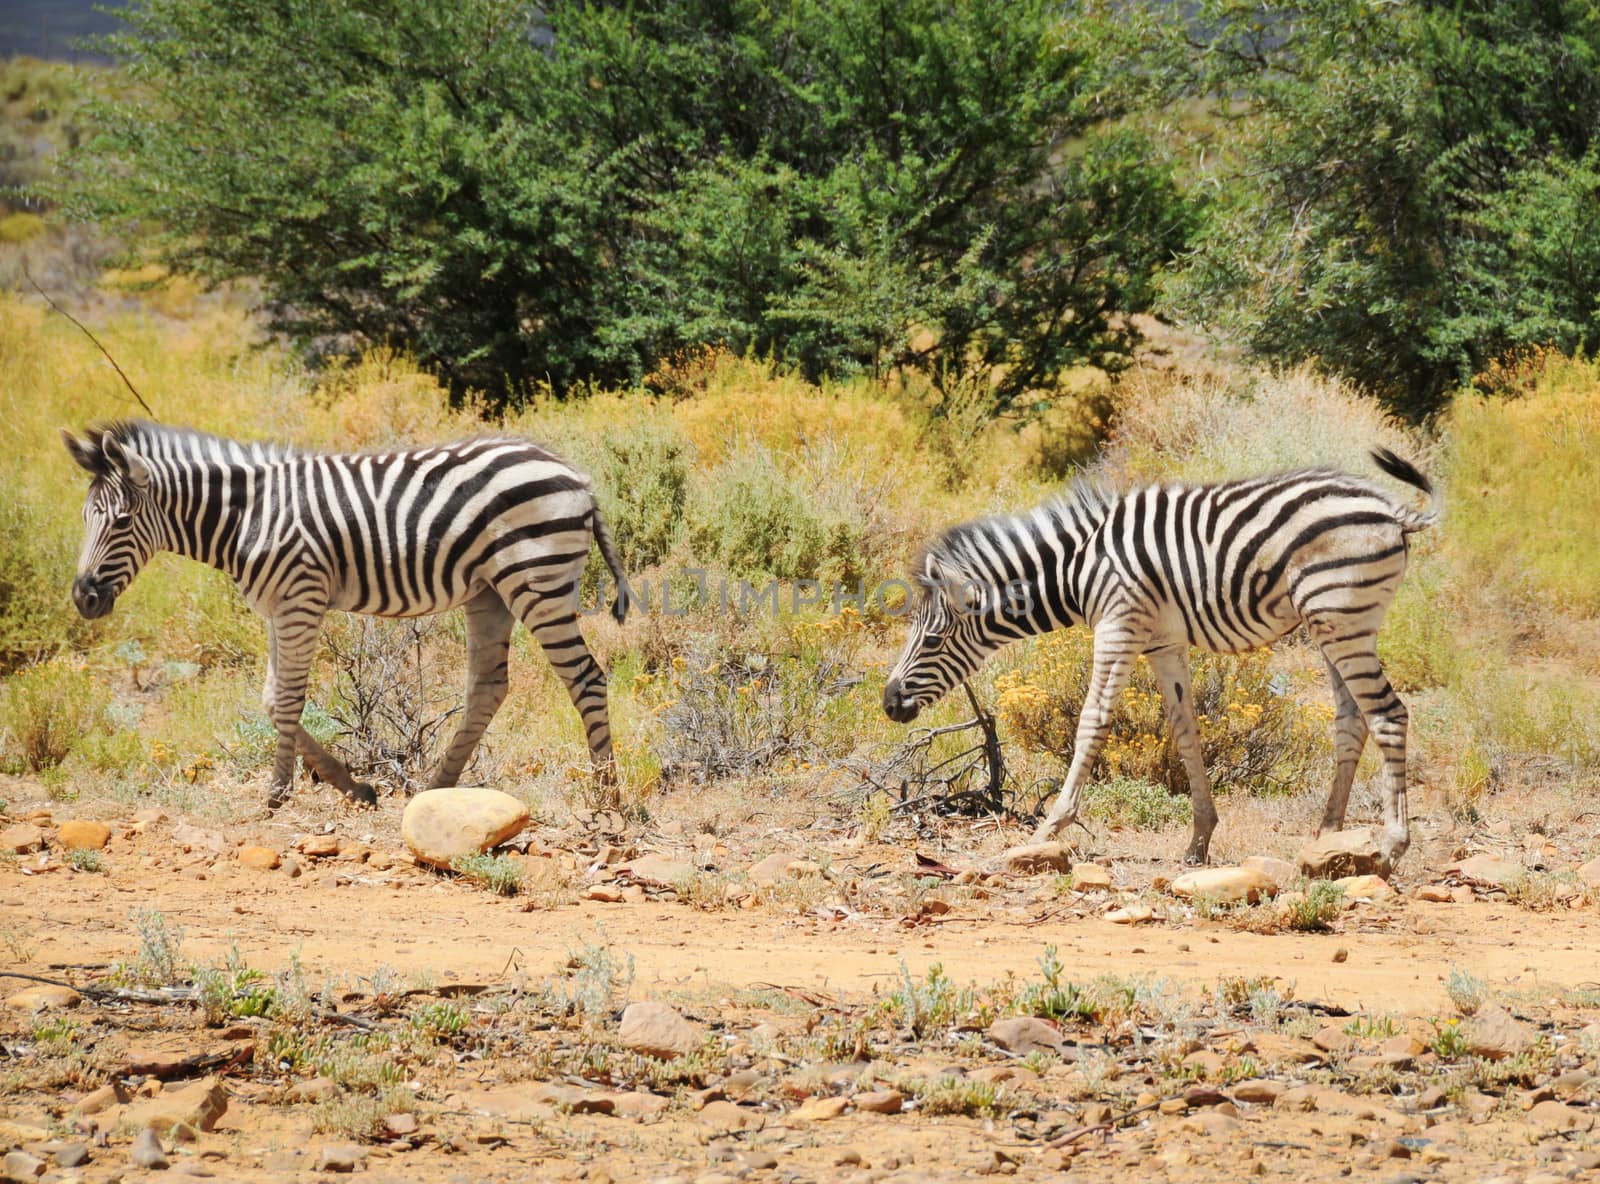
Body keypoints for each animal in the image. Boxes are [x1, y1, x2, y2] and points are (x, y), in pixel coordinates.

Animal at [62, 419, 627, 812]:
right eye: (84, 518)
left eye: (122, 521)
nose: (83, 599)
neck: (247, 517)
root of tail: (576, 475)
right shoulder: (276, 608)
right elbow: (272, 700)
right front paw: (352, 786)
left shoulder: (300, 596)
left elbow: (289, 700)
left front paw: (277, 791)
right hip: (489, 592)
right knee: (488, 686)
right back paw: (437, 786)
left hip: (536, 580)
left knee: (586, 677)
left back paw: (608, 798)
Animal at [883, 448, 1446, 876]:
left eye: (932, 640)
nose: (889, 704)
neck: (1078, 566)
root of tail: (1392, 509)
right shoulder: (1163, 644)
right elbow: (1185, 731)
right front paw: (1199, 841)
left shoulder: (1117, 626)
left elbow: (1092, 722)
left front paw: (1048, 828)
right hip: (1335, 624)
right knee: (1352, 720)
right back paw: (1326, 839)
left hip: (1339, 616)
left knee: (1388, 715)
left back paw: (1391, 849)